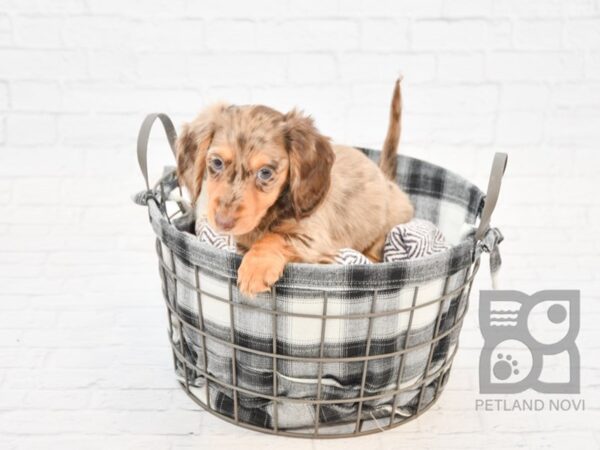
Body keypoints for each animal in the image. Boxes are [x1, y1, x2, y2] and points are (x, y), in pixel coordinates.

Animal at [176, 79, 414, 298]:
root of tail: (386, 178)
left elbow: (275, 238)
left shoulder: (312, 236)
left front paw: (255, 267)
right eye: (217, 163)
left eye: (265, 172)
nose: (223, 223)